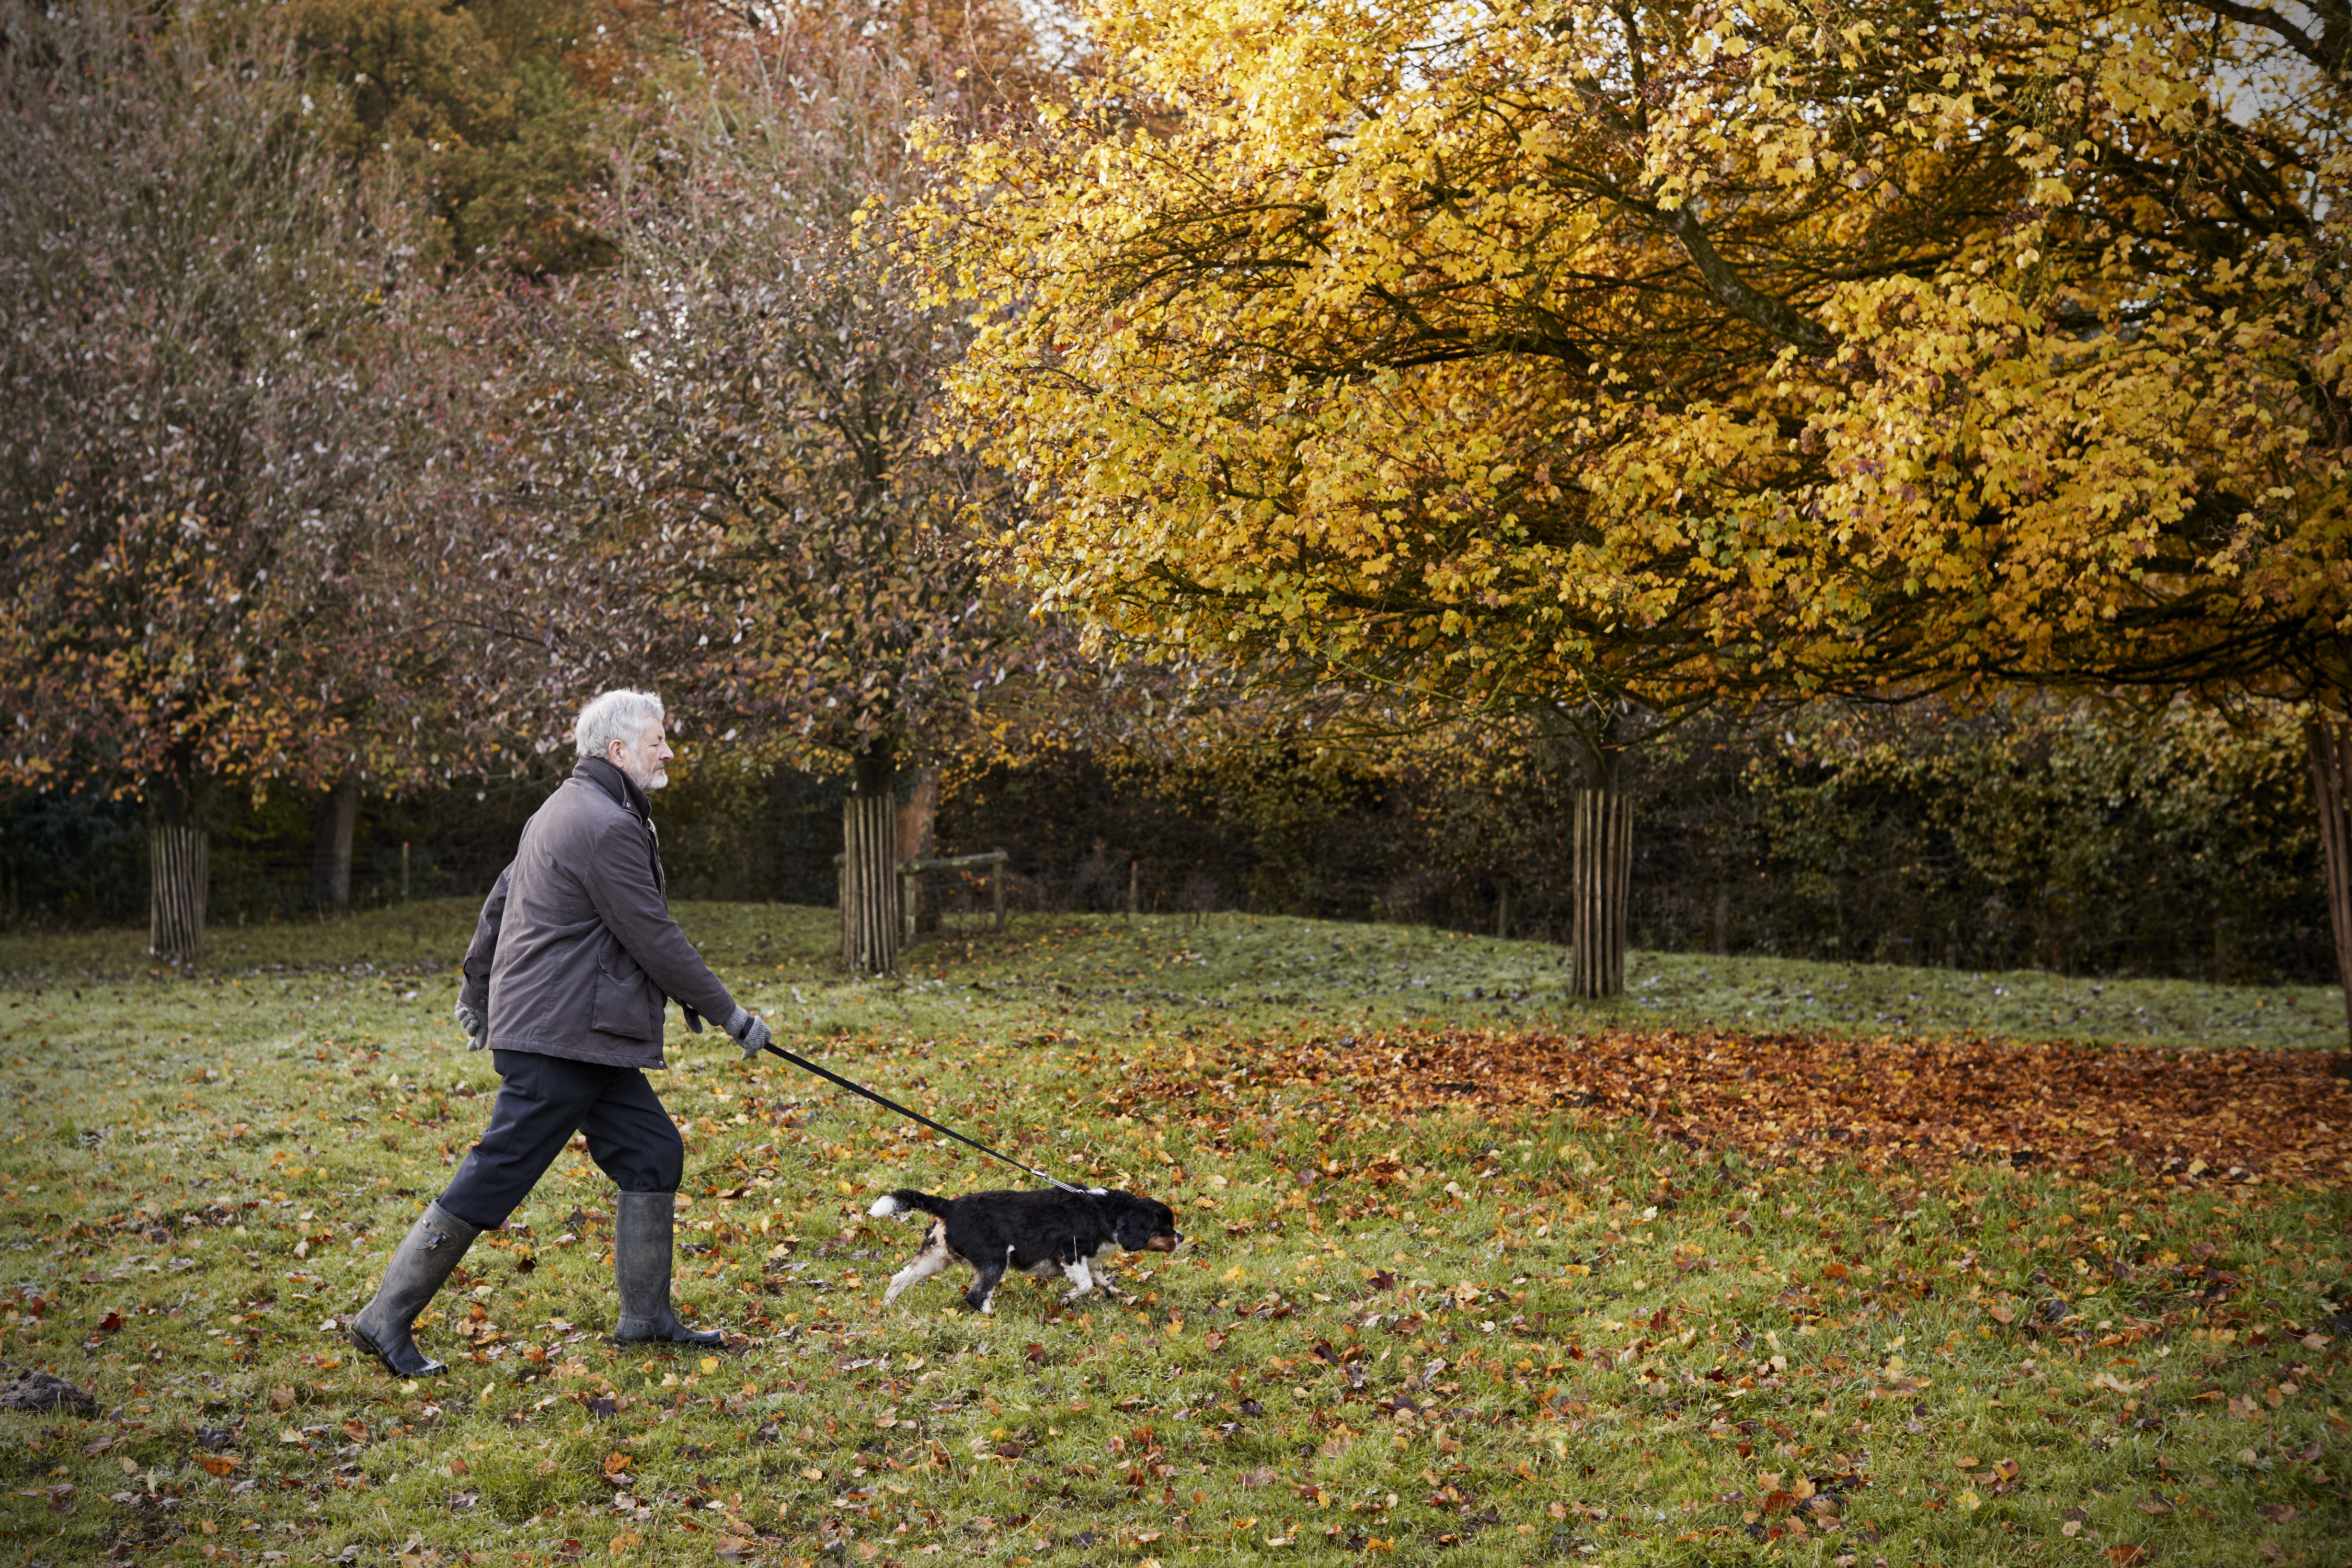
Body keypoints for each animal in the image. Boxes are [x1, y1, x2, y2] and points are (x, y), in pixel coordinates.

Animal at [875, 1189, 1185, 1316]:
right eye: (1166, 1227)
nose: (1181, 1238)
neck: (1105, 1210)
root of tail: (949, 1206)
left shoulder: (1090, 1260)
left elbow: (1101, 1280)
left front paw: (1119, 1296)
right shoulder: (1071, 1254)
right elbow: (1085, 1284)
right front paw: (1065, 1299)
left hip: (935, 1257)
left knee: (899, 1279)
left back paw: (887, 1306)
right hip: (994, 1260)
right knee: (975, 1295)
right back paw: (992, 1316)